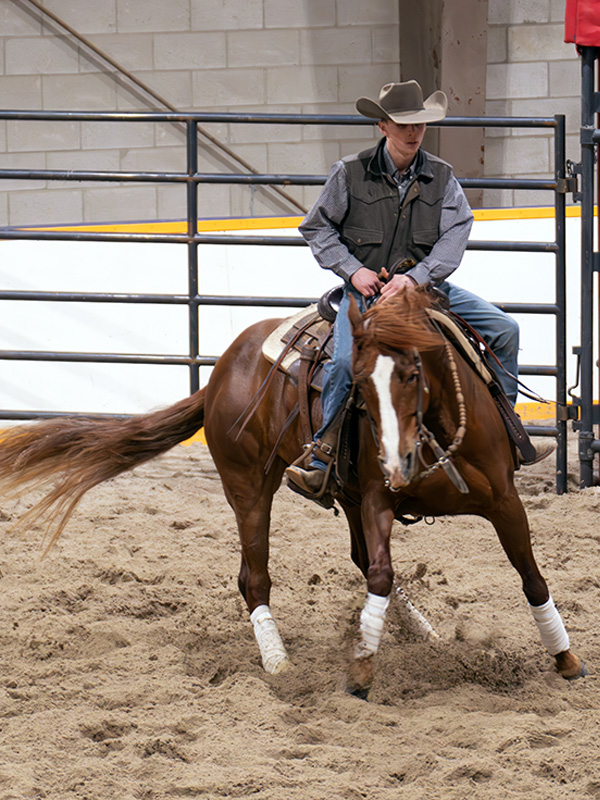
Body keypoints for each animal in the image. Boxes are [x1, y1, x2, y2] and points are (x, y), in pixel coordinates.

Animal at [0, 287, 584, 695]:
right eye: (360, 385)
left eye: (414, 373)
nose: (396, 461)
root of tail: (218, 373)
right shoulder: (378, 500)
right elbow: (381, 571)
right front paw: (361, 671)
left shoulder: (504, 500)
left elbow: (532, 578)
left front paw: (566, 660)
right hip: (248, 484)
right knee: (254, 577)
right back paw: (277, 659)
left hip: (343, 496)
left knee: (356, 559)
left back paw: (420, 629)